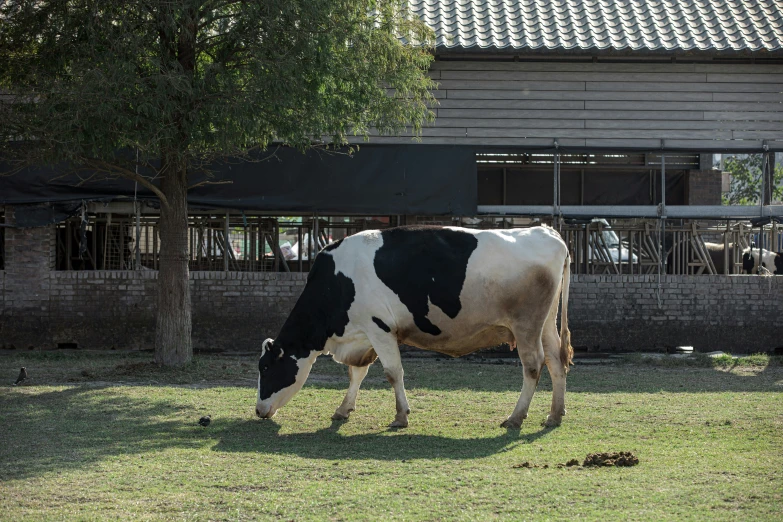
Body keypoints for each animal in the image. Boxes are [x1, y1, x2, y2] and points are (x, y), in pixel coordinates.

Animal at [258, 223, 576, 426]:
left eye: (266, 368)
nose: (259, 410)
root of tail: (546, 231)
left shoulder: (379, 327)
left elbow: (392, 372)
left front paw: (400, 416)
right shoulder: (363, 334)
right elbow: (357, 373)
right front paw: (343, 409)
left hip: (526, 325)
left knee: (533, 365)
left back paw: (515, 417)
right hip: (545, 324)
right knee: (555, 361)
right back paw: (554, 415)